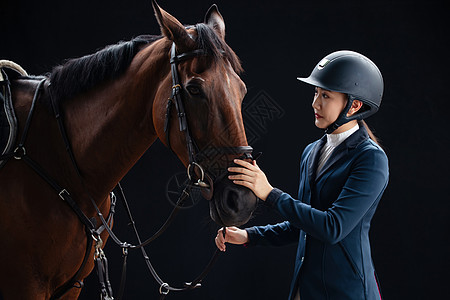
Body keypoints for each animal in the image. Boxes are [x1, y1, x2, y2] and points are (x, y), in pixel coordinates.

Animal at [0, 2, 256, 300]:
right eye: (194, 89)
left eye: (241, 89)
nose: (242, 199)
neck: (56, 155)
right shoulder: (24, 284)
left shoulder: (71, 287)